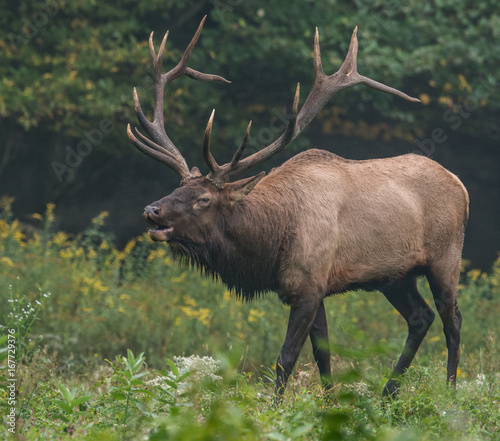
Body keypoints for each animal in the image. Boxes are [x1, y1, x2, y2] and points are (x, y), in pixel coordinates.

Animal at [126, 16, 468, 396]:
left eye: (204, 199)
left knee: (452, 319)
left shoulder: (308, 285)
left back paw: (450, 389)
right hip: (395, 276)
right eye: (177, 188)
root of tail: (460, 184)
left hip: (445, 258)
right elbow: (323, 354)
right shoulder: (309, 287)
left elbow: (285, 358)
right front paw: (332, 400)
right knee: (420, 318)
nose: (152, 210)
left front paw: (277, 406)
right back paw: (388, 392)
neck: (272, 242)